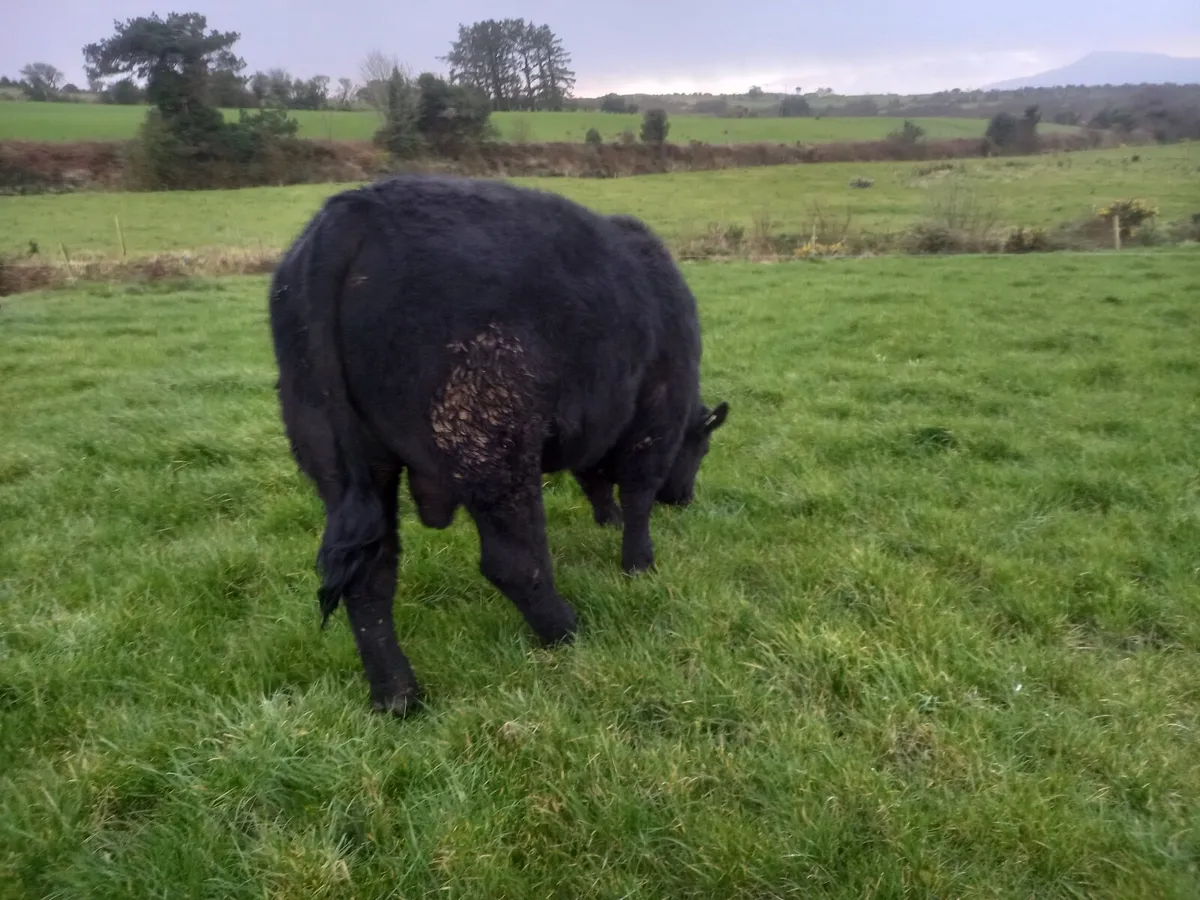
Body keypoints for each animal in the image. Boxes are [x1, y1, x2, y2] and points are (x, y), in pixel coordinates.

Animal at [268, 173, 729, 716]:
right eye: (702, 448)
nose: (683, 499)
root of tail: (352, 211)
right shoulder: (654, 419)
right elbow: (636, 497)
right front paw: (640, 564)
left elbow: (596, 481)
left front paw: (607, 520)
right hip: (490, 446)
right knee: (513, 560)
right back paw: (567, 630)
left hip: (338, 460)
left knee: (370, 575)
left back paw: (397, 695)